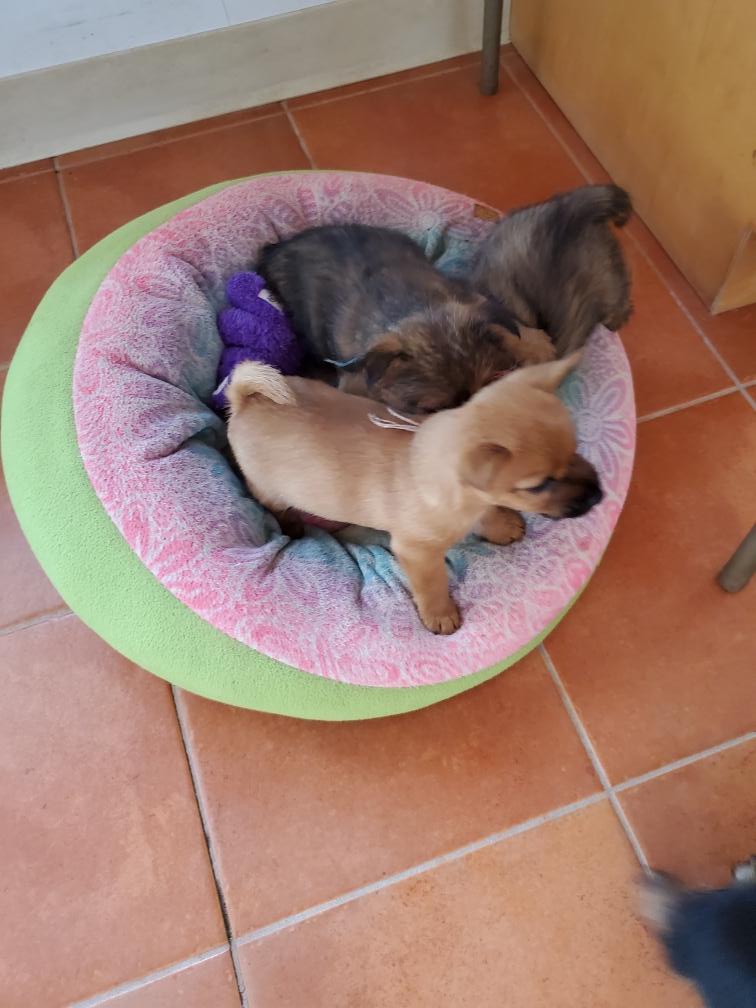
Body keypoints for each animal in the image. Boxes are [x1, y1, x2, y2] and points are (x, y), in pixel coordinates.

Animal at [226, 354, 602, 634]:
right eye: (538, 485)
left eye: (575, 449)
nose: (598, 496)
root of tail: (248, 400)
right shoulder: (418, 552)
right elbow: (433, 584)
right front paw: (440, 614)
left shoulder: (477, 504)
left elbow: (489, 513)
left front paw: (502, 525)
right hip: (269, 489)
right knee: (277, 507)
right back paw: (292, 526)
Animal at [257, 224, 556, 416]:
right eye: (431, 410)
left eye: (487, 387)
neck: (416, 308)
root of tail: (275, 247)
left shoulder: (467, 299)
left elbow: (501, 320)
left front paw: (535, 344)